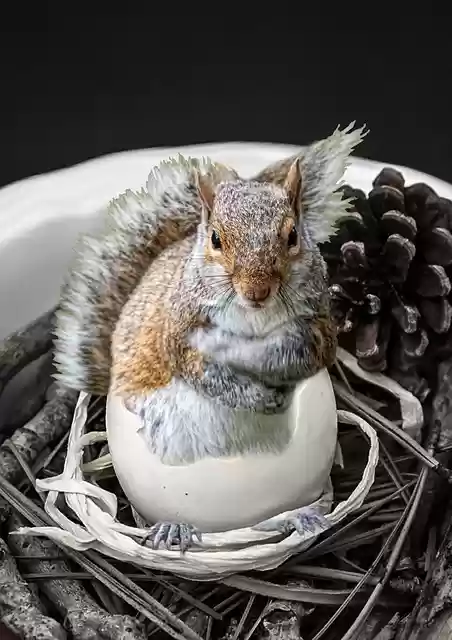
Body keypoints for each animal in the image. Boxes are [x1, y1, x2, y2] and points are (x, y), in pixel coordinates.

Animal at [54, 123, 366, 551]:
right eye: (216, 239)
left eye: (291, 236)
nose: (257, 291)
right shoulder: (178, 328)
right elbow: (202, 371)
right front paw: (250, 388)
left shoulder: (318, 322)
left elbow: (304, 350)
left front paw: (246, 354)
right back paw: (174, 528)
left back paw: (301, 516)